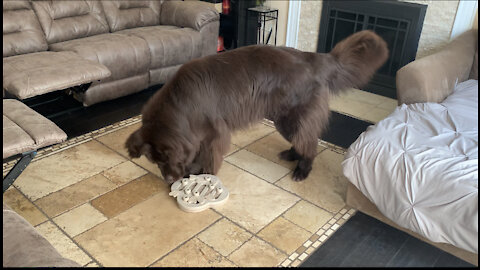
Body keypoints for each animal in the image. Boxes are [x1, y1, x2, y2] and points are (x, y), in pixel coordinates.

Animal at [125, 30, 388, 185]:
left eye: (166, 157)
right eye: (154, 161)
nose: (169, 180)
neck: (180, 104)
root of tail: (314, 57)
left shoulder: (213, 135)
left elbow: (207, 157)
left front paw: (204, 175)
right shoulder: (196, 135)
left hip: (292, 117)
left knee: (310, 142)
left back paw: (302, 170)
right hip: (283, 119)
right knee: (304, 138)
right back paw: (292, 155)